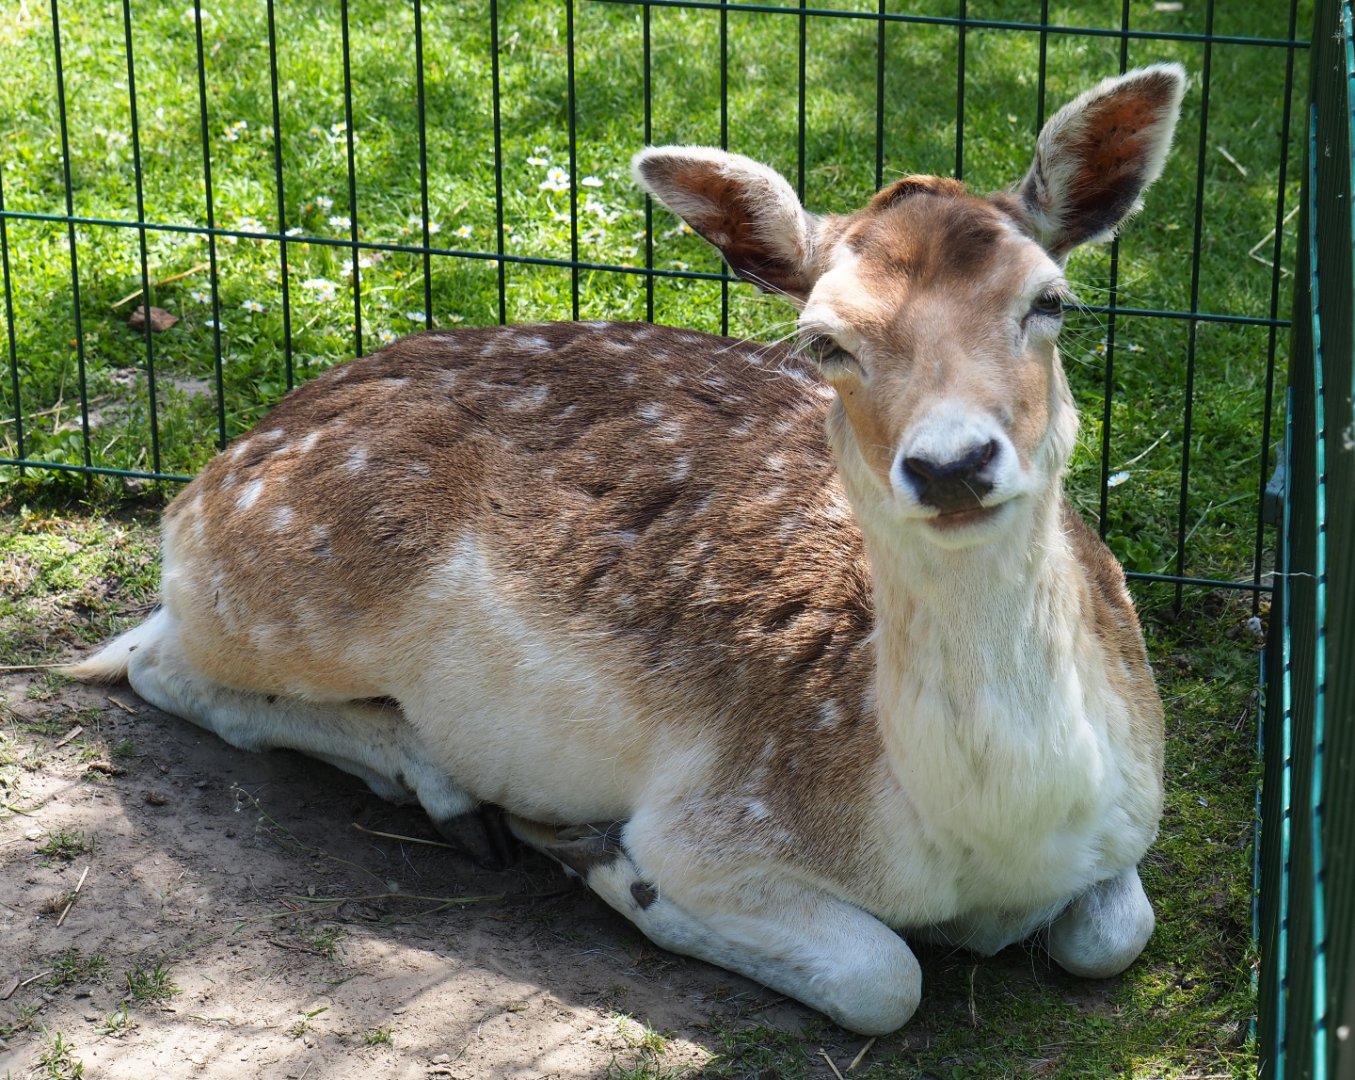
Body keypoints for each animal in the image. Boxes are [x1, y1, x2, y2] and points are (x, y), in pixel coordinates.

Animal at [64, 65, 1186, 1034]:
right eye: (822, 339)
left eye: (1048, 299)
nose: (951, 462)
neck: (992, 843)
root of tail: (212, 470)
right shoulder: (717, 824)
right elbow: (885, 977)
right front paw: (609, 867)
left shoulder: (1135, 803)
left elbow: (1116, 930)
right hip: (276, 597)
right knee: (158, 661)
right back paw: (448, 790)